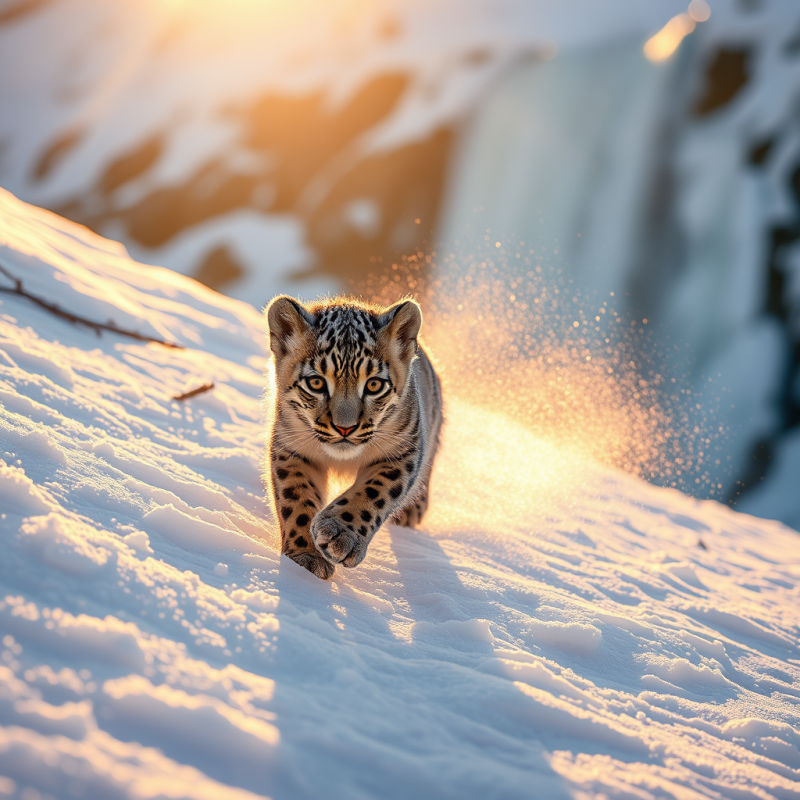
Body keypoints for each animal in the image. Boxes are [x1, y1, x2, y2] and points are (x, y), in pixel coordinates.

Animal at [263, 295, 443, 580]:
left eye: (374, 384)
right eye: (316, 383)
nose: (344, 428)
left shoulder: (403, 450)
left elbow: (375, 491)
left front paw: (339, 534)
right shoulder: (292, 448)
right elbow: (297, 498)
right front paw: (306, 557)